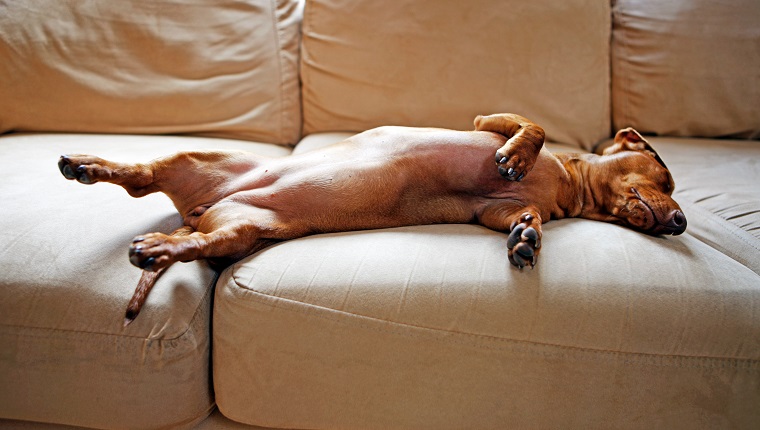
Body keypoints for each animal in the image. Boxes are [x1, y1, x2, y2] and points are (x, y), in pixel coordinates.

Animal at [59, 112, 684, 324]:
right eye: (667, 175)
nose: (679, 222)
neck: (570, 184)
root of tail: (198, 211)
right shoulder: (489, 121)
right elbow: (530, 126)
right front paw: (518, 156)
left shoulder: (496, 209)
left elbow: (517, 213)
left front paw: (526, 237)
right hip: (198, 158)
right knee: (140, 174)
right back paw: (87, 164)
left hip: (241, 229)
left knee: (178, 230)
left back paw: (157, 245)